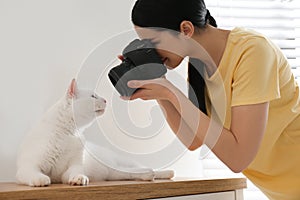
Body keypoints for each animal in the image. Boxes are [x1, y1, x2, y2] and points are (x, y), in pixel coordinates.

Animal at [16, 79, 175, 187]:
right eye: (93, 96)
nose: (105, 100)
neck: (70, 133)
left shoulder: (74, 166)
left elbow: (76, 172)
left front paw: (79, 178)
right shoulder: (28, 166)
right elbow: (33, 172)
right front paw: (41, 179)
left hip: (120, 164)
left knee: (138, 168)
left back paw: (162, 173)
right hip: (114, 174)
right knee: (130, 172)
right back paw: (150, 174)